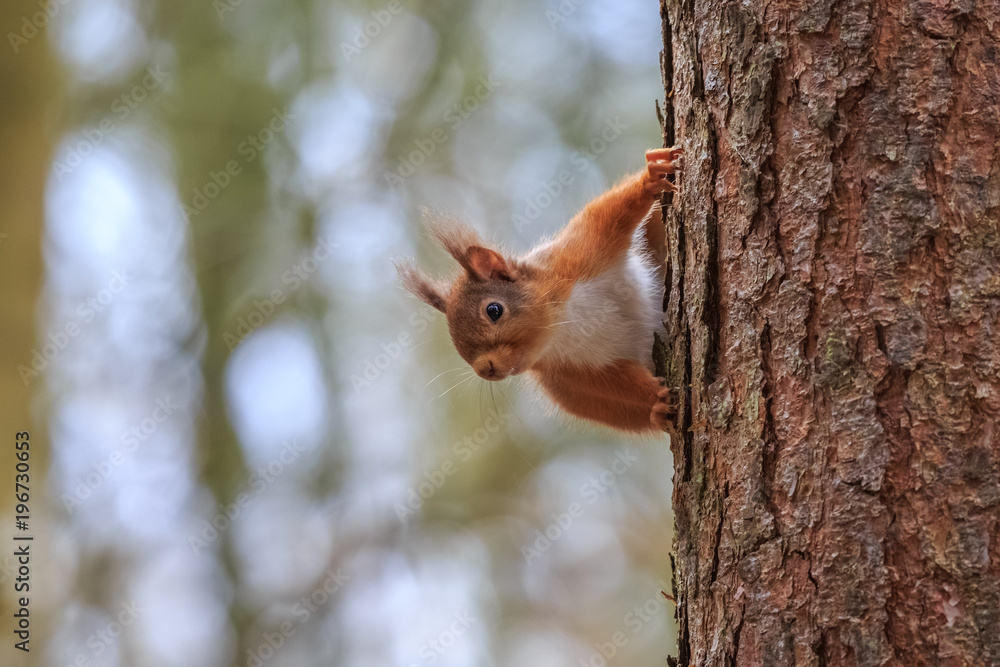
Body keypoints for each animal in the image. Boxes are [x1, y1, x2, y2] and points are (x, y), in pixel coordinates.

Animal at [396, 147, 682, 433]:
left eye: (494, 310)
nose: (485, 370)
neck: (560, 325)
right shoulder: (576, 370)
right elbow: (616, 384)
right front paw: (657, 403)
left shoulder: (582, 249)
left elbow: (612, 213)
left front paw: (651, 177)